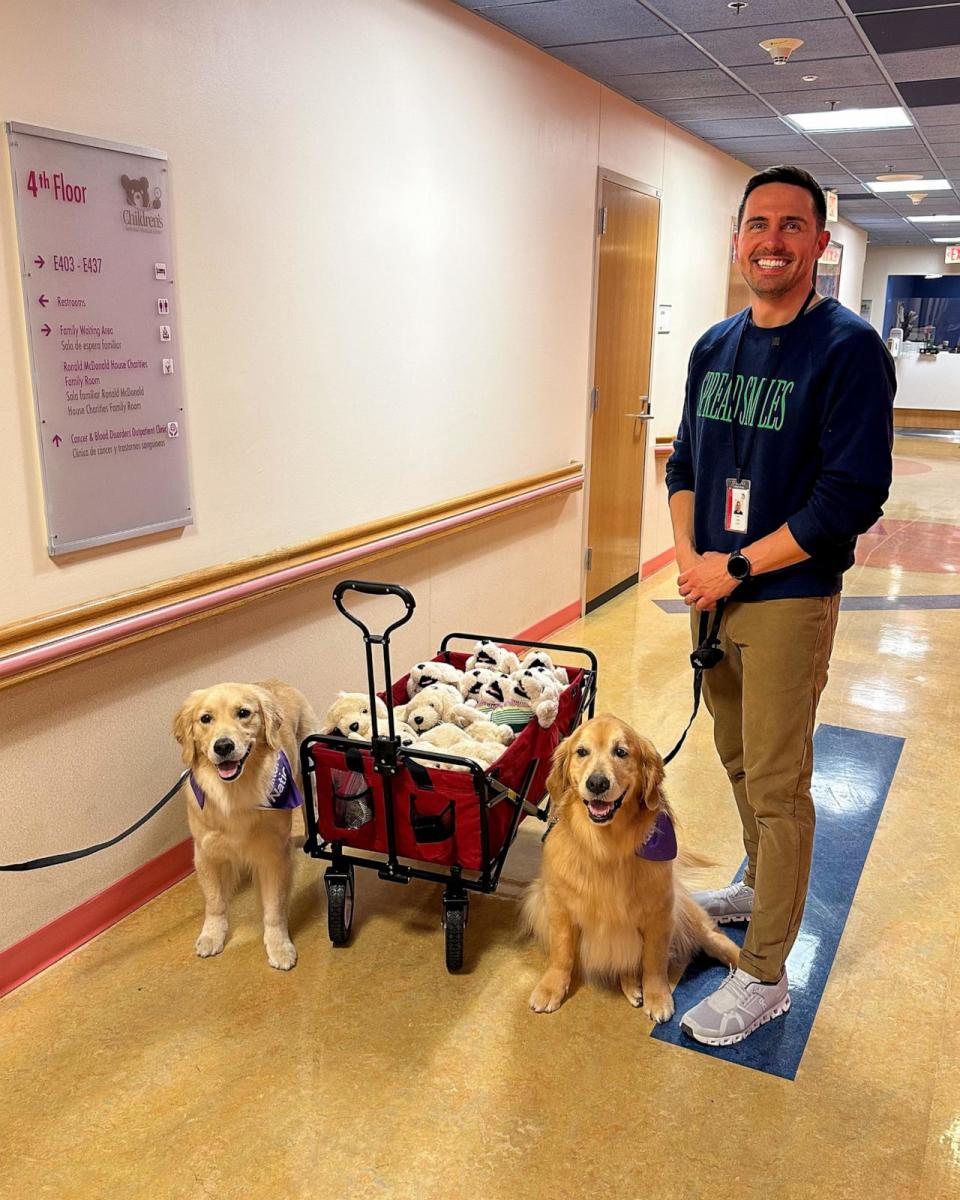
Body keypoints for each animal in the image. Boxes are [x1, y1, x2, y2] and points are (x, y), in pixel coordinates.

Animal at [172, 681, 319, 969]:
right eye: (205, 719)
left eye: (243, 713)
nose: (223, 746)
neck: (234, 792)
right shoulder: (206, 853)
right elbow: (215, 902)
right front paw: (212, 935)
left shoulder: (274, 855)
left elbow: (274, 908)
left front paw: (279, 946)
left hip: (305, 774)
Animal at [525, 710, 734, 1022]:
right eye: (581, 752)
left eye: (621, 752)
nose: (597, 783)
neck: (606, 848)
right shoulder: (559, 905)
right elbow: (562, 953)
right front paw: (551, 987)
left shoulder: (660, 911)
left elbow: (653, 960)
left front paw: (657, 996)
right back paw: (631, 986)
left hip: (689, 916)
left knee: (715, 939)